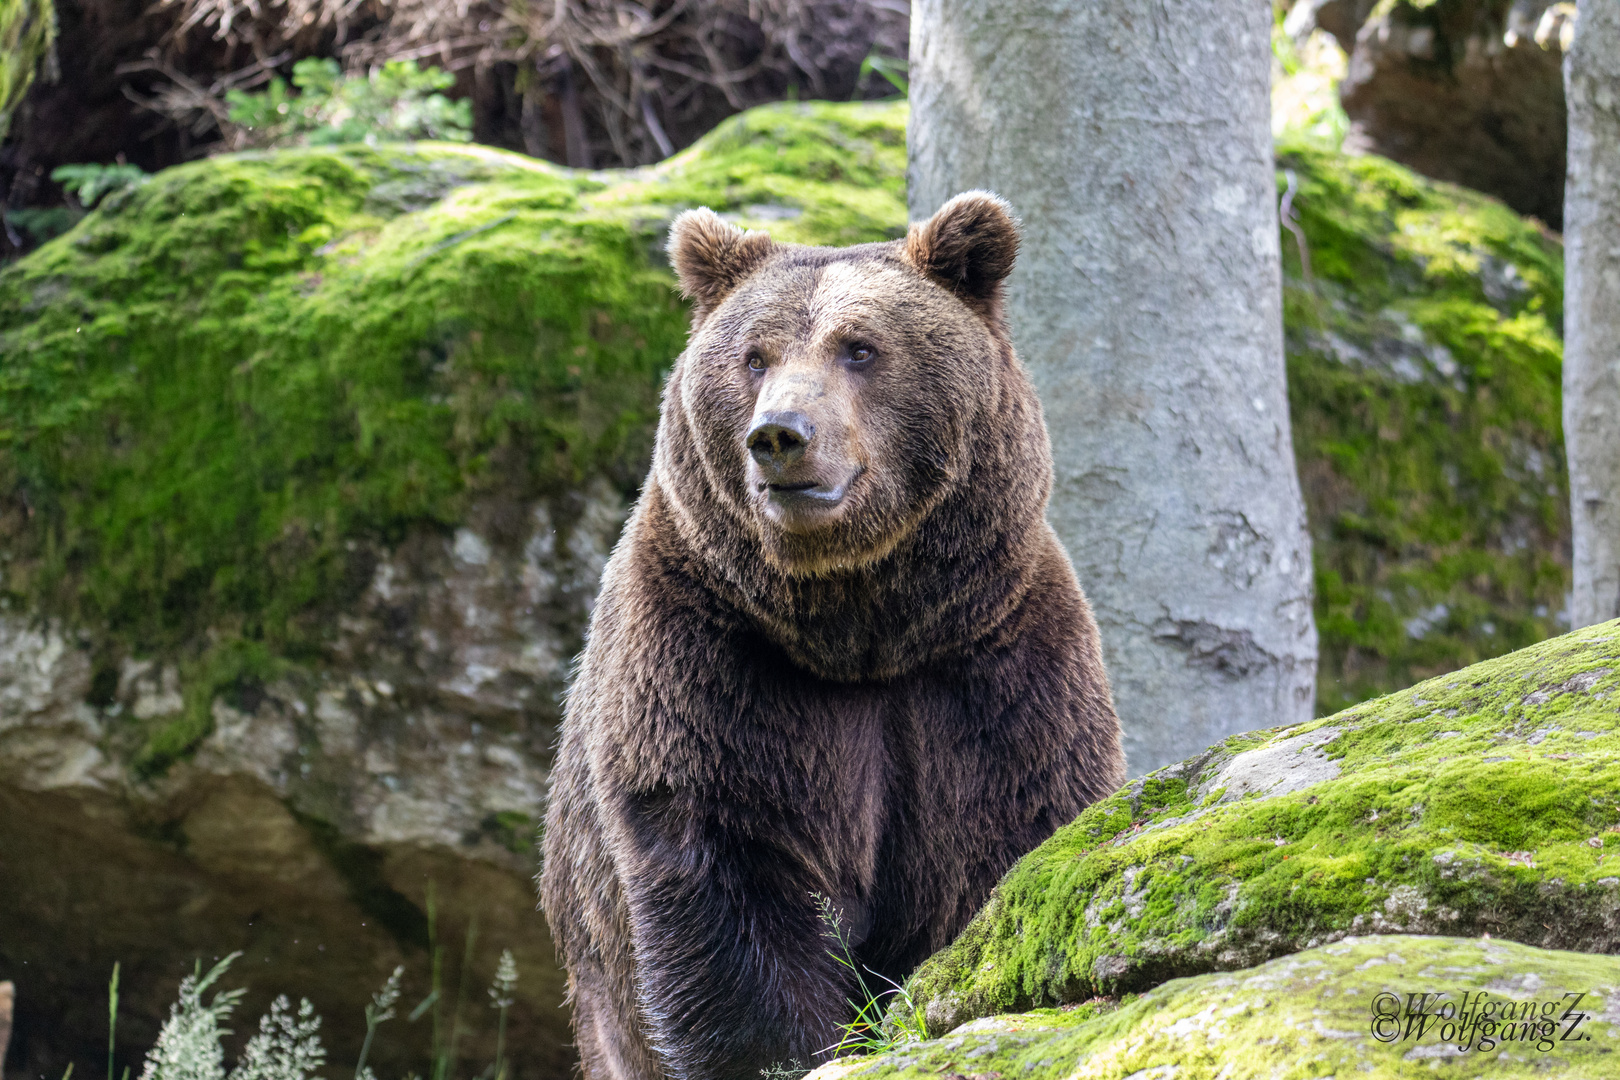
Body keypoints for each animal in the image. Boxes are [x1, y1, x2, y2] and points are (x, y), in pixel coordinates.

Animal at [537, 191, 1121, 1080]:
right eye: (754, 356)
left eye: (860, 347)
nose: (780, 435)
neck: (861, 628)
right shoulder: (713, 657)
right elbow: (731, 874)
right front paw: (786, 1050)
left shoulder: (990, 664)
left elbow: (1007, 834)